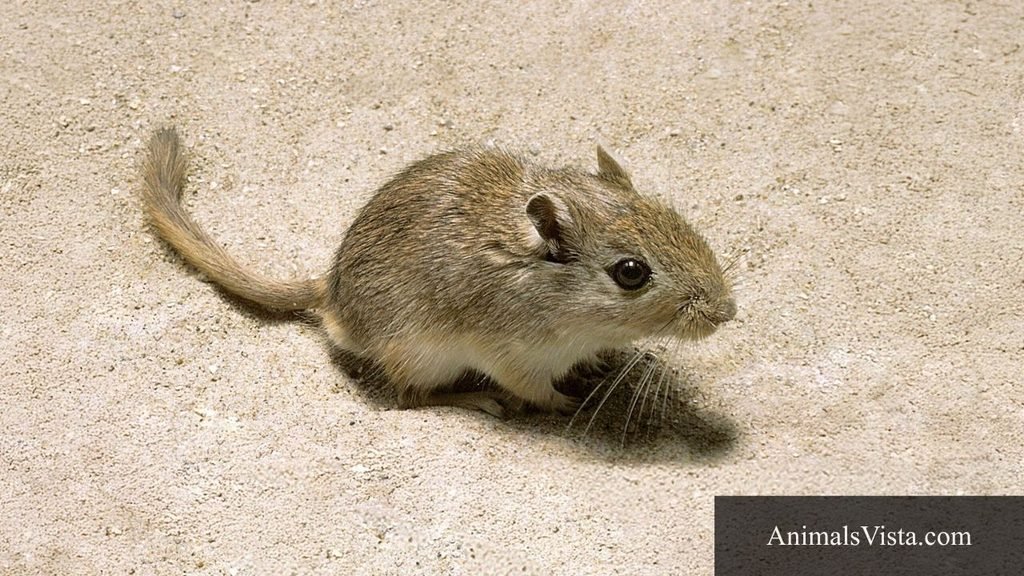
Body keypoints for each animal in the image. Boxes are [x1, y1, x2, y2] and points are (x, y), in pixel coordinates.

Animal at [141, 127, 736, 417]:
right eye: (631, 272)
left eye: (672, 214)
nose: (727, 312)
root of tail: (329, 294)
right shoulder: (516, 356)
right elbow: (539, 392)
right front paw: (569, 404)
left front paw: (601, 366)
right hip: (423, 354)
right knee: (412, 399)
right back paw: (479, 401)